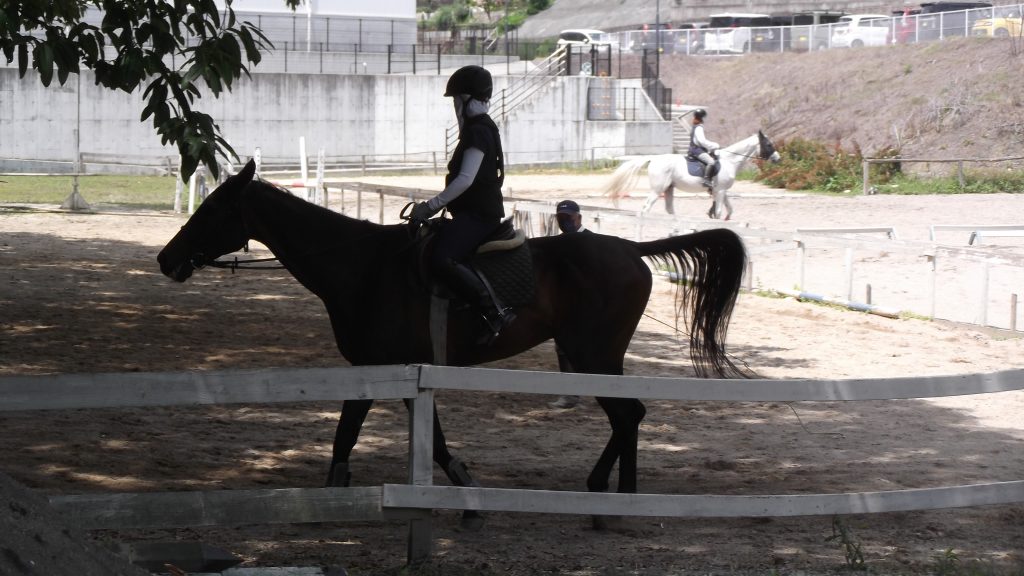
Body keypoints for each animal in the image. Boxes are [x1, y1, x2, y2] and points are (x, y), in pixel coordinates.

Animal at [157, 159, 749, 527]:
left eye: (212, 210)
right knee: (629, 416)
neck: (363, 266)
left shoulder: (391, 366)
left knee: (628, 415)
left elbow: (395, 440)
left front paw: (464, 498)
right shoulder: (377, 369)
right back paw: (602, 489)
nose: (166, 259)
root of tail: (630, 248)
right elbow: (358, 437)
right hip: (592, 358)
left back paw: (616, 501)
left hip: (593, 356)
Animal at [604, 130, 780, 222]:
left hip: (668, 189)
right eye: (768, 144)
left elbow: (729, 210)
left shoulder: (721, 191)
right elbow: (718, 211)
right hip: (657, 189)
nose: (778, 159)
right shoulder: (720, 191)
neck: (730, 161)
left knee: (669, 210)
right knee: (646, 208)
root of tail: (654, 159)